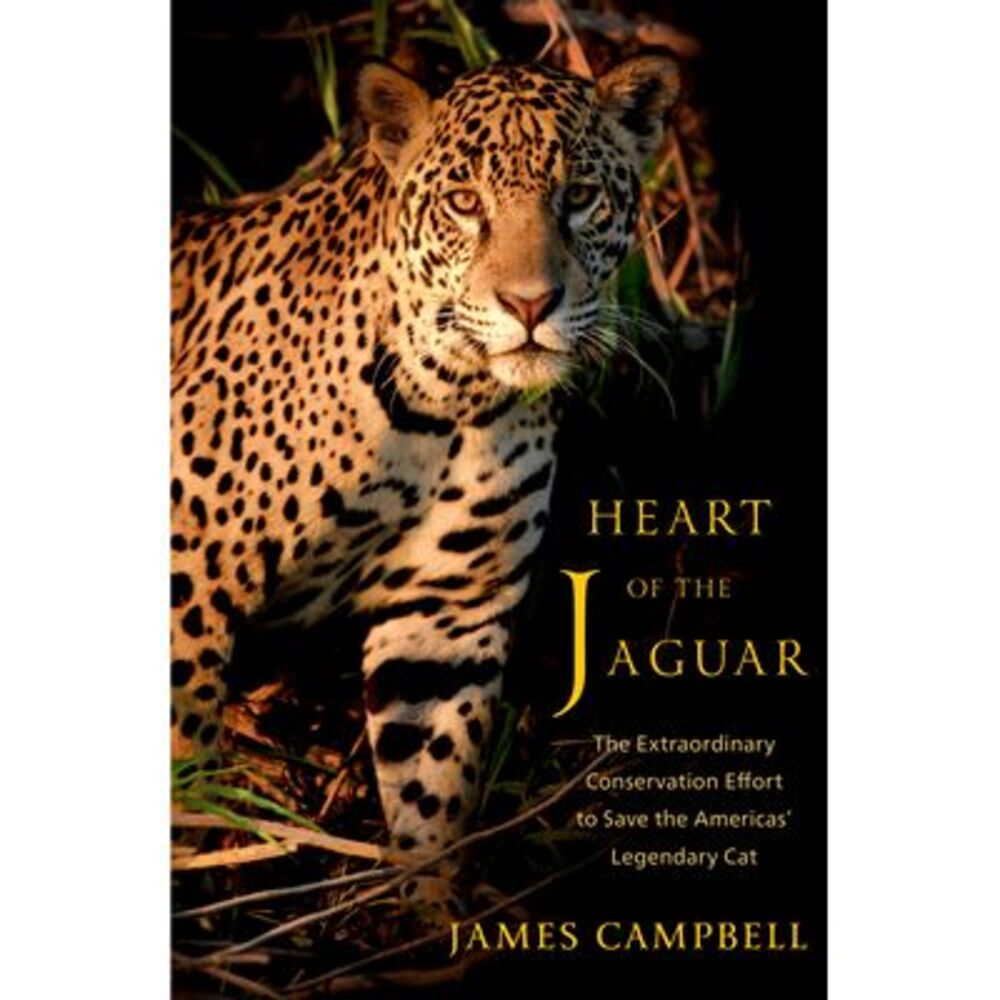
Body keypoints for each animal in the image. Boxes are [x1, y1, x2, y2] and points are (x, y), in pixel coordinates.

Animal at [170, 56, 680, 902]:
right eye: (465, 203)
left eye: (578, 196)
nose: (530, 304)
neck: (449, 404)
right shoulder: (189, 570)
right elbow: (180, 745)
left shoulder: (447, 616)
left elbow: (435, 783)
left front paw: (431, 910)